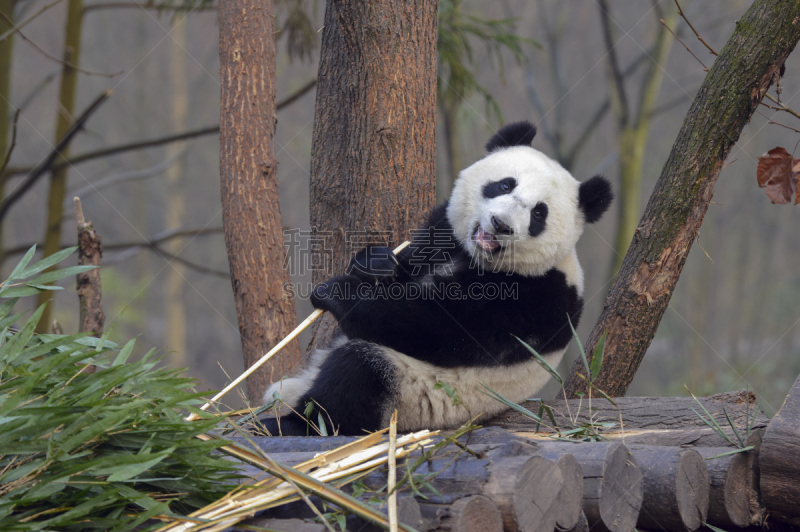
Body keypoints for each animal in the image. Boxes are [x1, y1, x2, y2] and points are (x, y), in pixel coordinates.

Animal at [262, 120, 612, 436]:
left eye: (539, 213)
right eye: (505, 185)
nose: (500, 224)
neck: (476, 259)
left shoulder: (534, 300)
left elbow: (429, 326)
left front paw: (337, 291)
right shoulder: (442, 232)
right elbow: (404, 270)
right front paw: (374, 263)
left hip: (415, 395)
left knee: (355, 376)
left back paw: (289, 424)